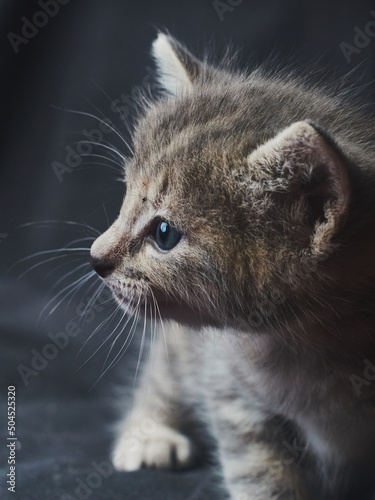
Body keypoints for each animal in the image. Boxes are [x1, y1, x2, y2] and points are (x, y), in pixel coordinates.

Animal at [89, 33, 375, 498]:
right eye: (126, 196)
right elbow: (259, 471)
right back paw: (149, 433)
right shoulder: (231, 390)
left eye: (164, 233)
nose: (95, 257)